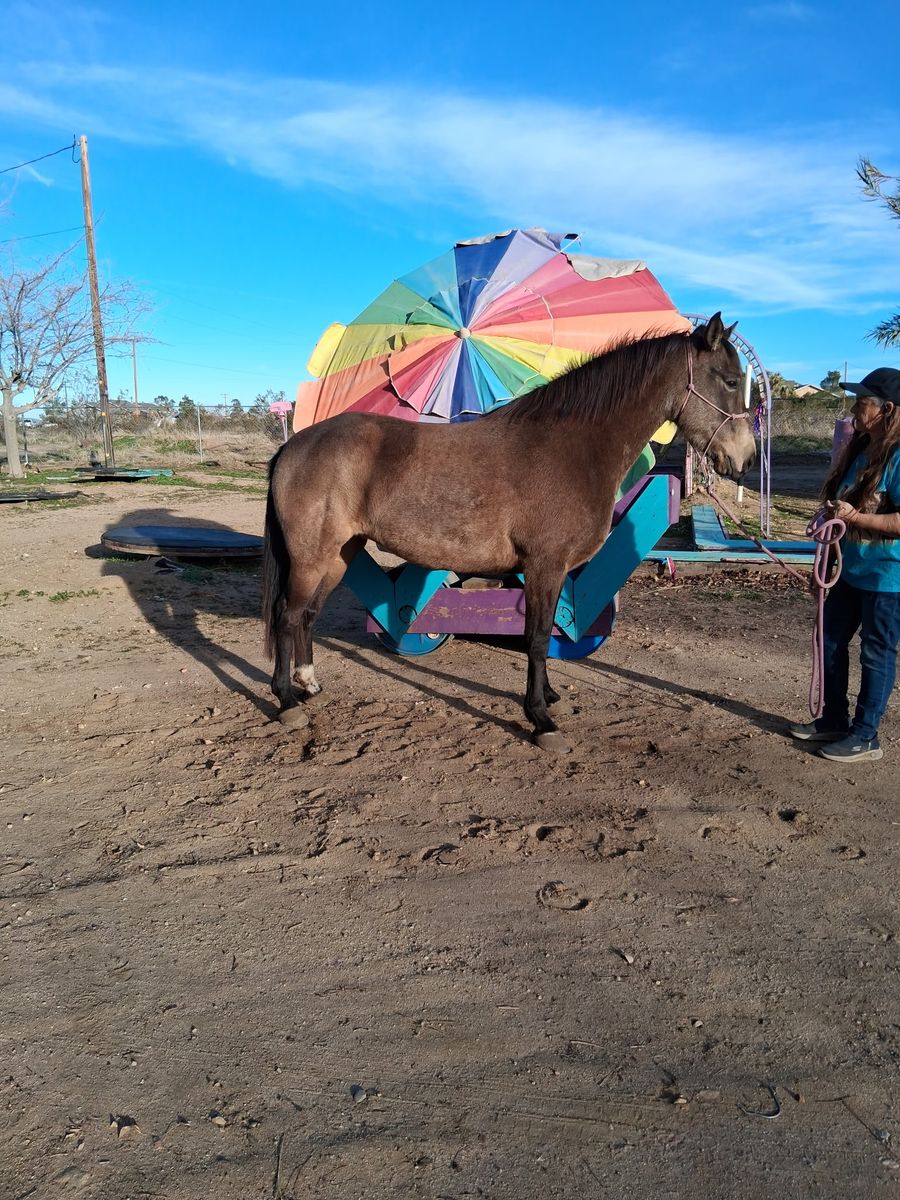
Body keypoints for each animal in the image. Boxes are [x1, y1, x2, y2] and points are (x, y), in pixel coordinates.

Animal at [262, 313, 756, 750]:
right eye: (731, 381)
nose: (746, 458)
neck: (572, 446)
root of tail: (293, 445)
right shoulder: (544, 566)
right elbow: (535, 638)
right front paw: (540, 719)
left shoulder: (552, 572)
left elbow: (546, 632)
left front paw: (548, 697)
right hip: (311, 557)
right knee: (287, 614)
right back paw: (286, 701)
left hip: (339, 555)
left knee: (307, 614)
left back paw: (309, 684)